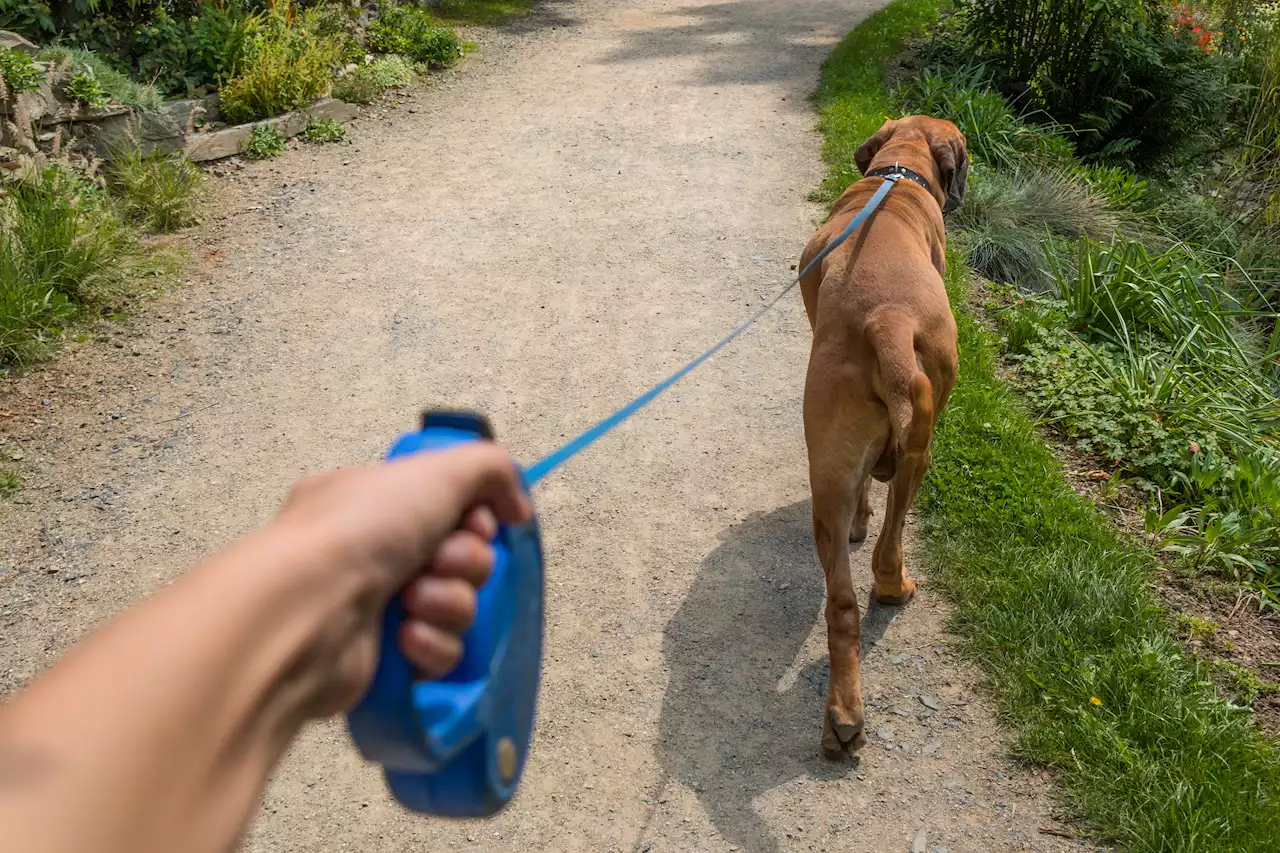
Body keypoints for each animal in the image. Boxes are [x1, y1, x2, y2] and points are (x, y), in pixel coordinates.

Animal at [793, 114, 962, 758]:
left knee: (842, 600)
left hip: (832, 475)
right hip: (921, 444)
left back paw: (843, 716)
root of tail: (887, 320)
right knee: (890, 536)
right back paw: (895, 589)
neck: (899, 171)